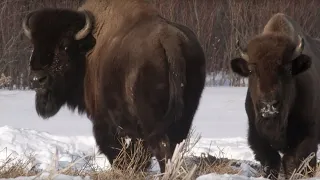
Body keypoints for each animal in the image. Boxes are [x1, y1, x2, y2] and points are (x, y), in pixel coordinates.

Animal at [23, 0, 208, 172]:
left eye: (64, 46)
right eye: (34, 44)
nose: (37, 79)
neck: (85, 51)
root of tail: (170, 41)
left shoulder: (103, 121)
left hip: (150, 119)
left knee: (161, 148)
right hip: (183, 116)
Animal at [230, 12, 320, 179]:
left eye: (287, 69)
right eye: (252, 70)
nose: (269, 105)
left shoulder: (307, 138)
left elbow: (294, 162)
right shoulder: (258, 137)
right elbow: (272, 162)